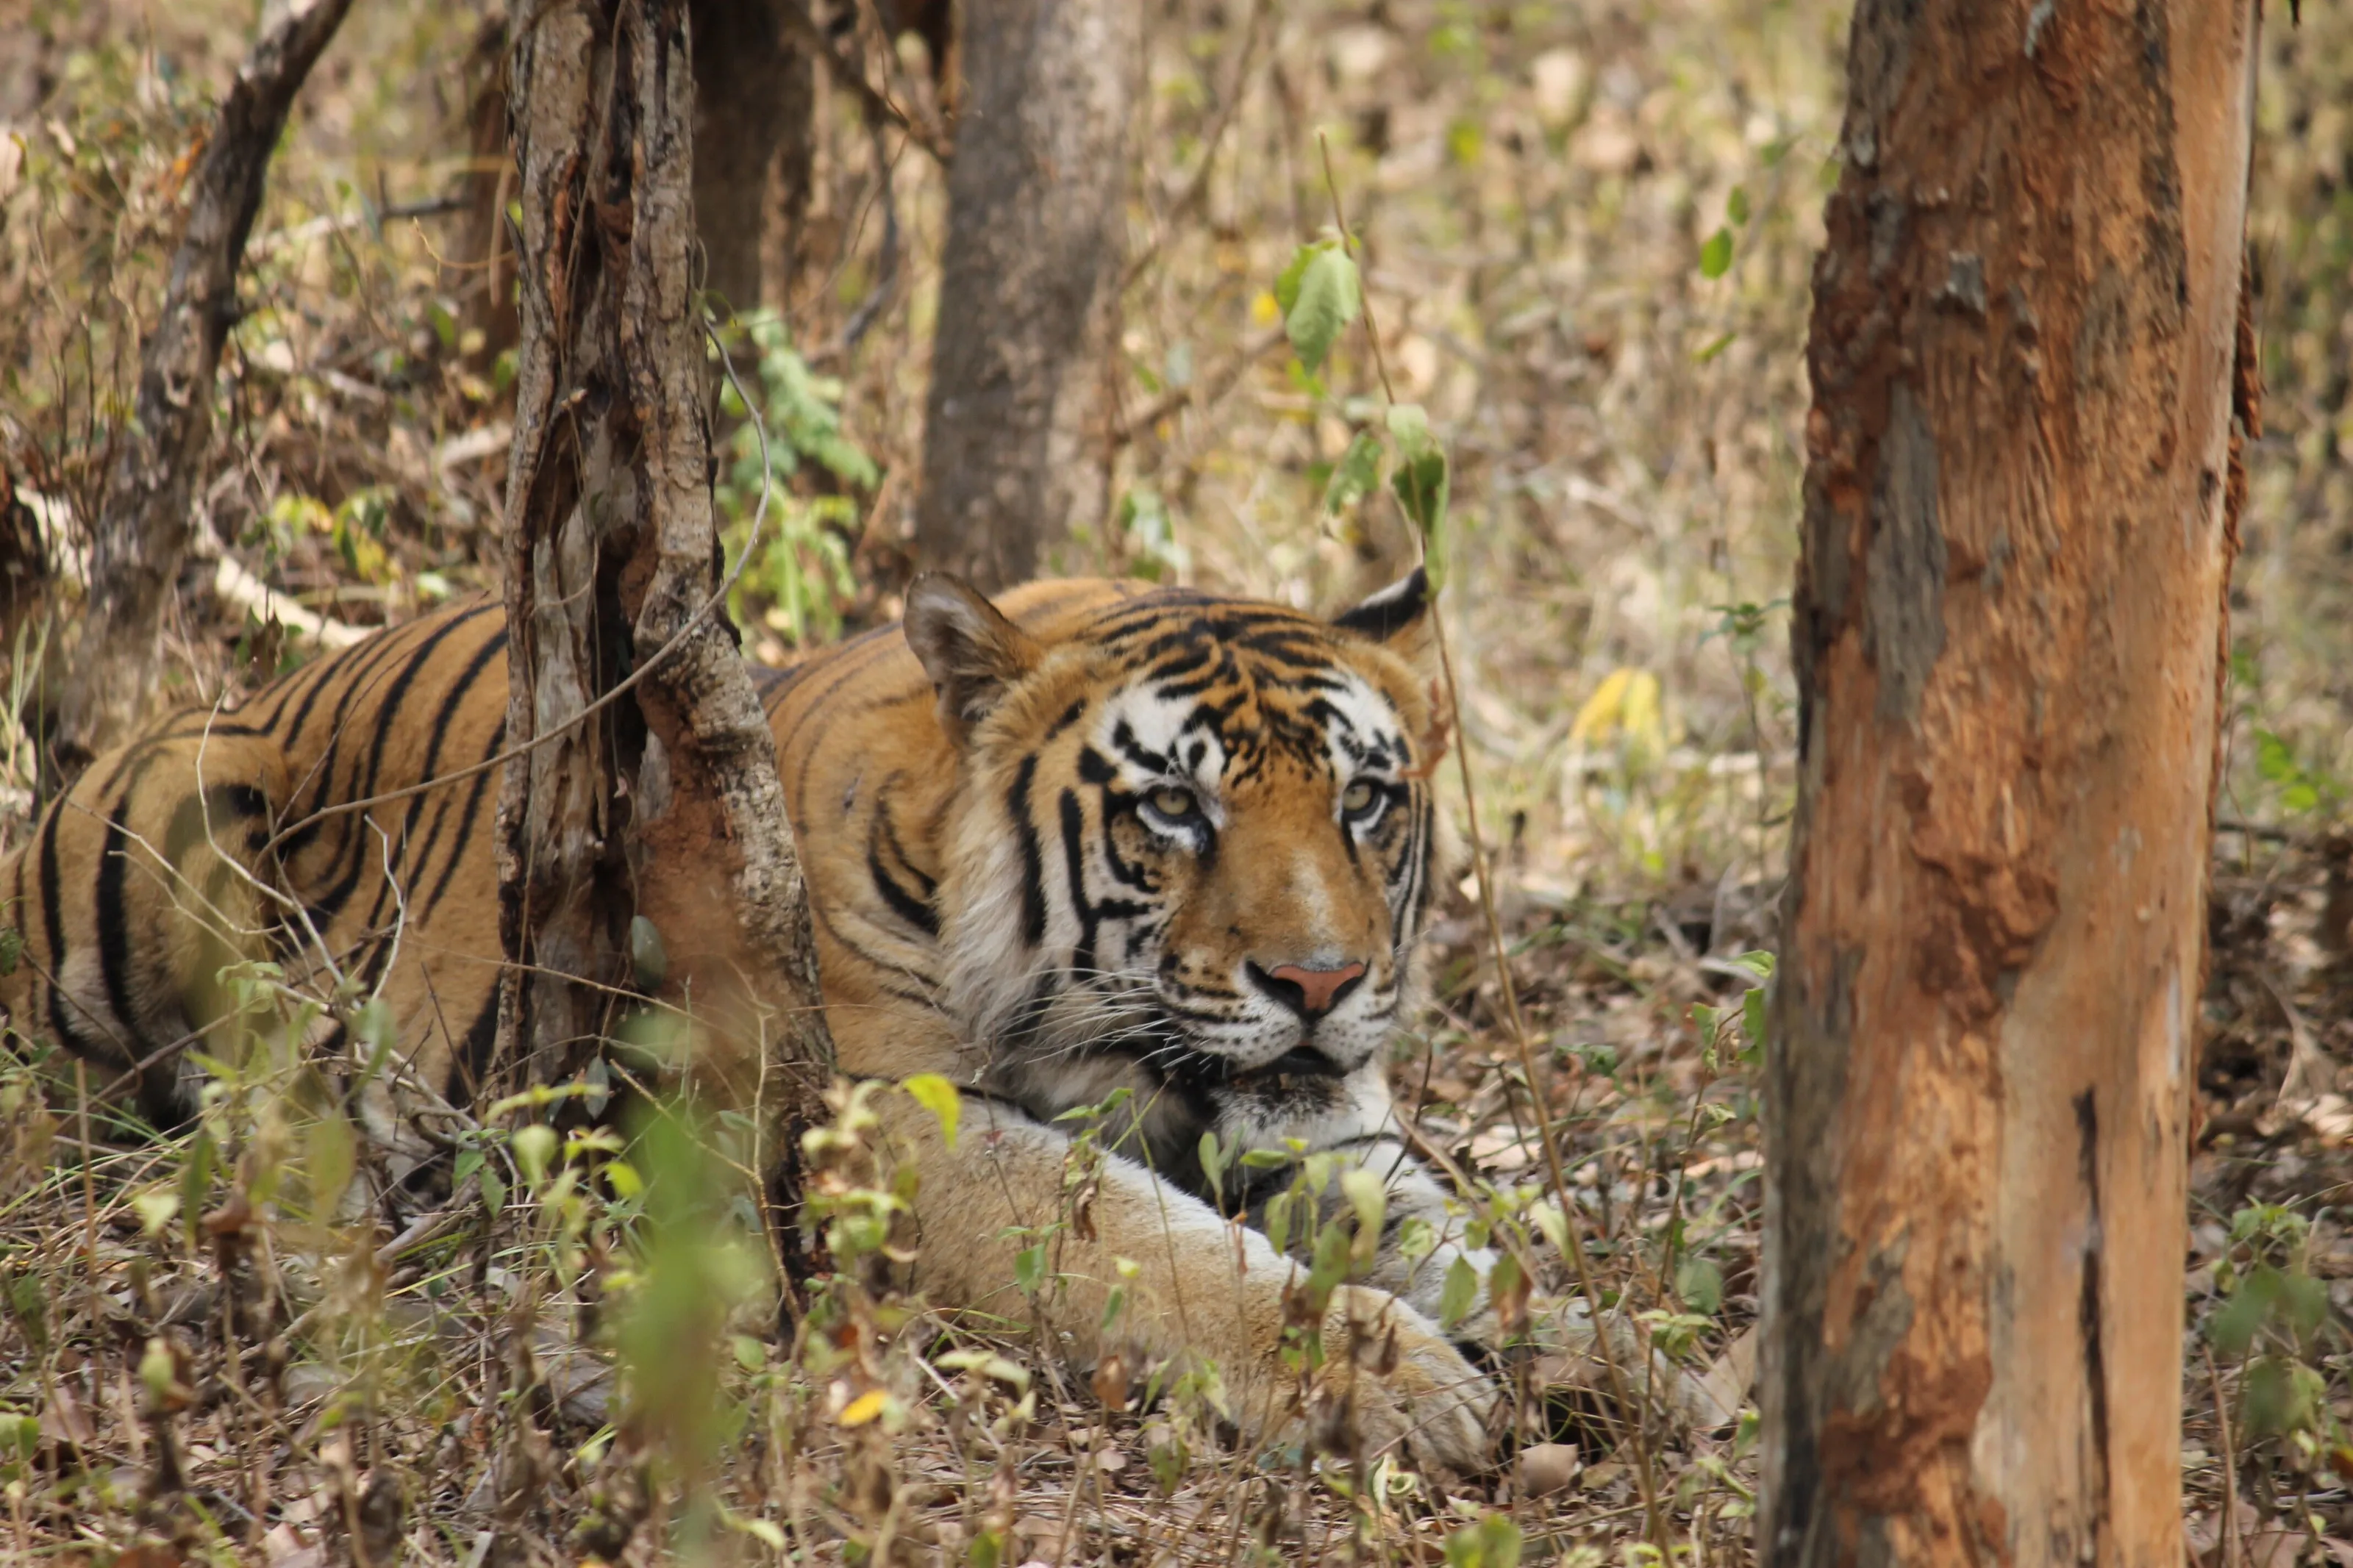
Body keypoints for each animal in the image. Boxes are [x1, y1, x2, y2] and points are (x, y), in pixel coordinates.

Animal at [0, 569, 1522, 1470]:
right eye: (1174, 807)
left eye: (1364, 800)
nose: (1322, 982)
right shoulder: (885, 1130)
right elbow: (1164, 1253)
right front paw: (1402, 1382)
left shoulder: (1326, 1127)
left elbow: (1467, 1243)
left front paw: (1568, 1349)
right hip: (184, 816)